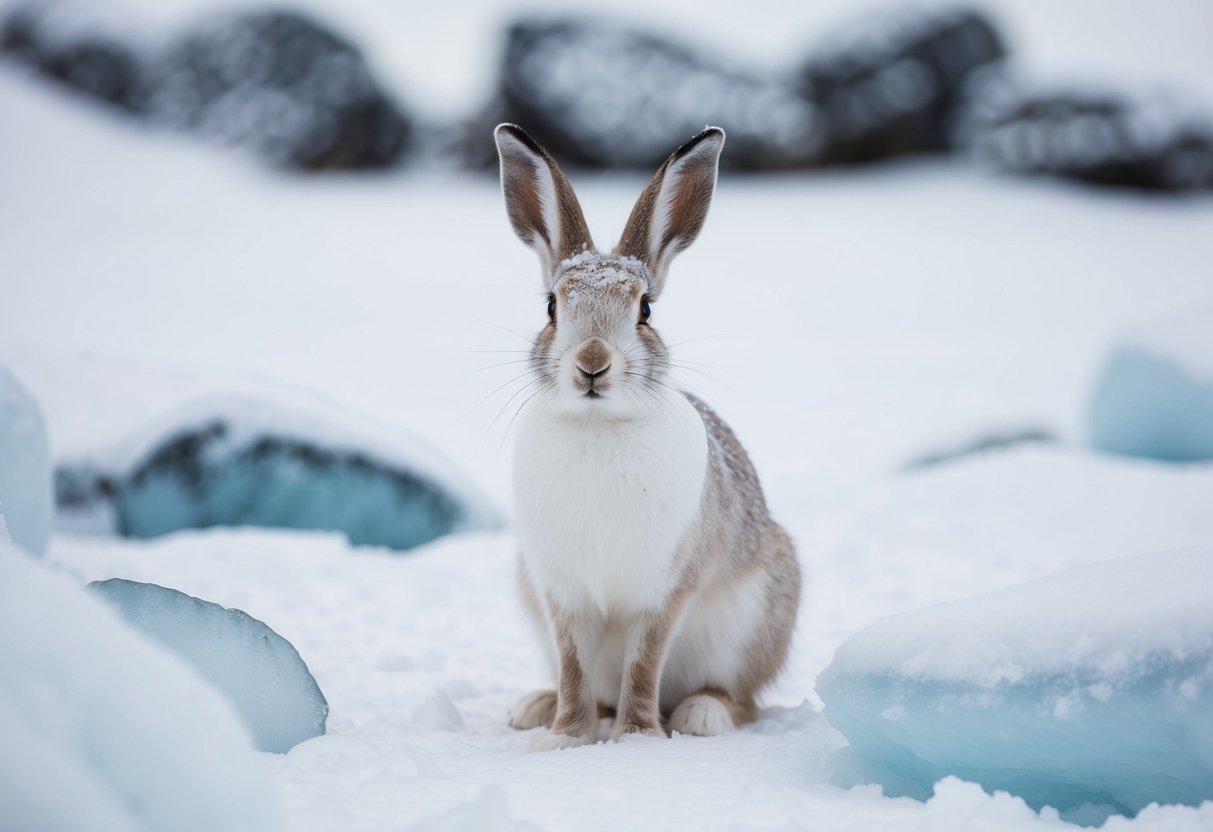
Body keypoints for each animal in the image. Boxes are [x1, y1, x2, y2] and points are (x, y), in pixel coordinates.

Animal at [494, 123, 800, 751]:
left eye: (646, 310)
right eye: (551, 307)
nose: (592, 364)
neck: (598, 425)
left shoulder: (665, 590)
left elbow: (644, 663)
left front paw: (636, 740)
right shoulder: (559, 595)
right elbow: (574, 668)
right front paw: (563, 739)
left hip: (753, 624)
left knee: (744, 701)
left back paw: (700, 715)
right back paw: (534, 707)